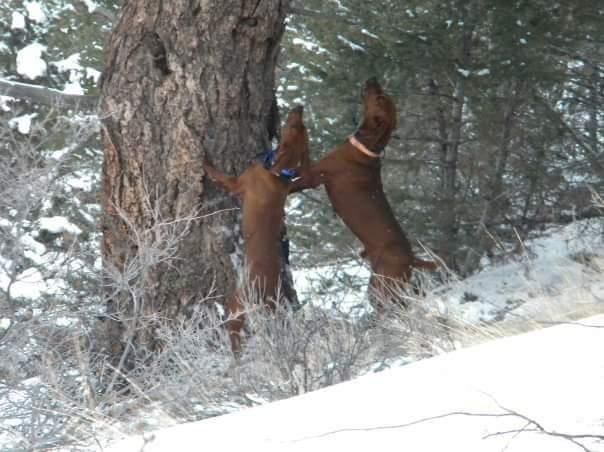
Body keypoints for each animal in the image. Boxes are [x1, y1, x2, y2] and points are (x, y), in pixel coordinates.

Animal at [203, 106, 310, 356]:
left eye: (293, 126)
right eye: (300, 126)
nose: (299, 107)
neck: (278, 174)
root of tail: (267, 294)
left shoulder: (237, 183)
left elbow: (218, 175)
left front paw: (203, 161)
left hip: (238, 301)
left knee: (234, 328)